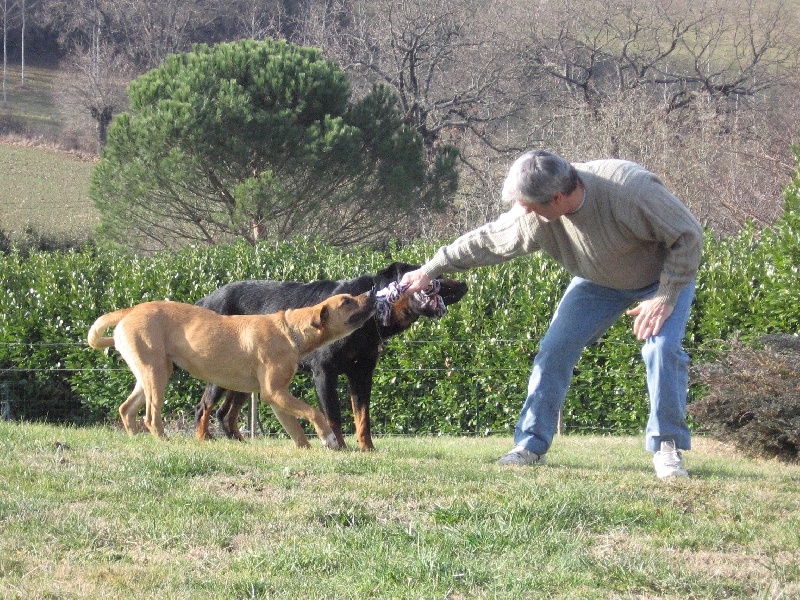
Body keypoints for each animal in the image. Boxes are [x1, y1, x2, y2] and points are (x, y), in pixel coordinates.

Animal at [87, 292, 376, 448]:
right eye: (347, 301)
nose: (372, 293)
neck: (290, 330)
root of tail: (130, 310)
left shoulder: (277, 397)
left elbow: (294, 426)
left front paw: (306, 448)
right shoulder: (274, 392)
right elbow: (315, 412)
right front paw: (329, 438)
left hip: (151, 372)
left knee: (126, 408)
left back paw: (136, 439)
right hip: (155, 374)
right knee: (151, 417)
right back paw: (164, 441)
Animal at [195, 262, 468, 450]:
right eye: (436, 276)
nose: (465, 284)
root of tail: (204, 301)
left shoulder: (361, 374)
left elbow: (363, 417)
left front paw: (367, 449)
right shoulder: (325, 372)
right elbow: (333, 416)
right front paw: (340, 447)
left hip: (245, 377)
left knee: (225, 414)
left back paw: (239, 442)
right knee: (204, 407)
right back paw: (204, 439)